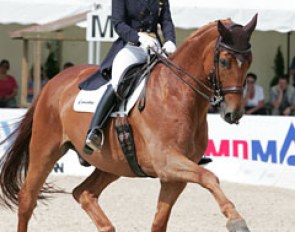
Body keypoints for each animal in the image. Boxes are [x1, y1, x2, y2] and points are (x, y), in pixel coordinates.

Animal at [0, 14, 256, 232]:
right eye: (224, 62)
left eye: (249, 62)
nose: (233, 114)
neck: (177, 94)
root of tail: (51, 83)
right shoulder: (167, 162)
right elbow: (209, 177)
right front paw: (236, 220)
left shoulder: (173, 177)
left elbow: (160, 223)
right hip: (45, 149)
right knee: (28, 198)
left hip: (112, 162)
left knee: (84, 192)